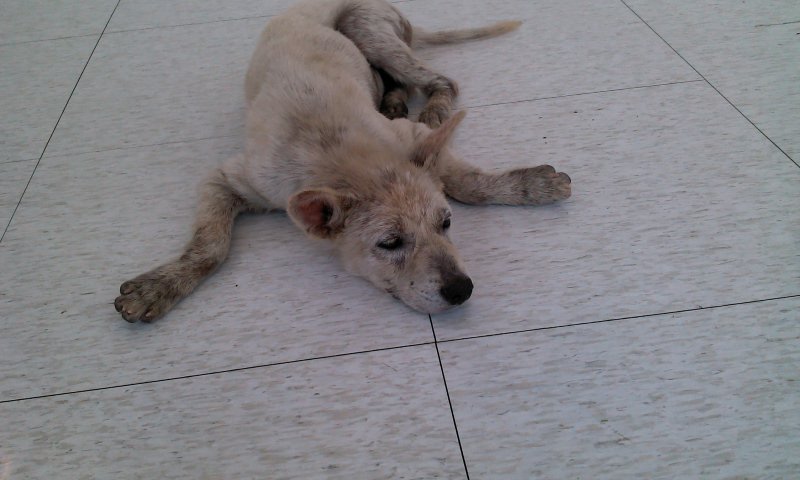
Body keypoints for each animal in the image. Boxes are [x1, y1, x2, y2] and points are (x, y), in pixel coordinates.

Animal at [114, 0, 571, 322]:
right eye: (390, 244)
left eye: (446, 223)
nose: (462, 290)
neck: (339, 154)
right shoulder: (231, 177)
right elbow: (211, 245)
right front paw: (161, 285)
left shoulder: (407, 137)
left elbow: (467, 181)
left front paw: (530, 184)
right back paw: (395, 98)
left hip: (367, 26)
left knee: (440, 80)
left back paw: (430, 106)